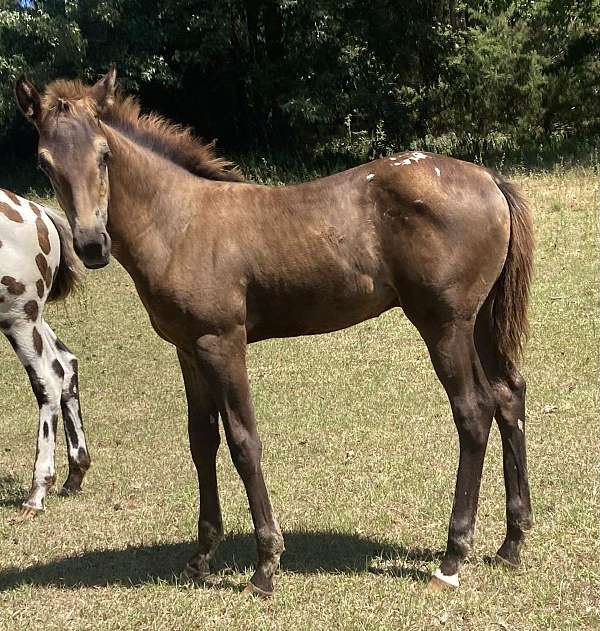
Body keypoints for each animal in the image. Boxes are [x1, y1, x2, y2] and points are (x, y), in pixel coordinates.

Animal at [0, 188, 90, 520]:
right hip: (32, 318)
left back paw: (37, 493)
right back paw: (75, 474)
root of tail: (38, 213)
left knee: (48, 382)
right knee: (67, 364)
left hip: (20, 319)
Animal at [16, 69, 536, 596]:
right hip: (480, 323)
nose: (90, 244)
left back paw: (452, 558)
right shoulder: (187, 349)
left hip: (445, 324)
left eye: (104, 154)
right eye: (44, 164)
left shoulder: (222, 342)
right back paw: (511, 543)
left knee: (474, 411)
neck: (179, 222)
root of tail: (489, 178)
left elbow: (244, 442)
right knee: (508, 394)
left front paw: (266, 565)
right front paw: (202, 555)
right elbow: (201, 441)